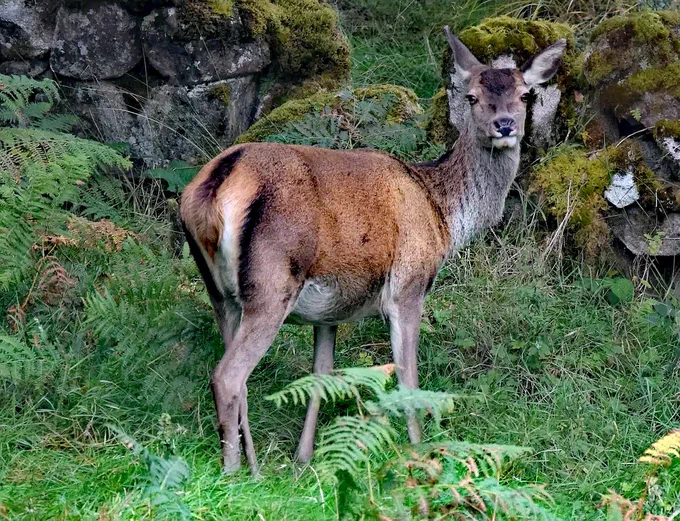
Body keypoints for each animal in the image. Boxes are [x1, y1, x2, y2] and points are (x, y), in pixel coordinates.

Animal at [180, 28, 567, 474]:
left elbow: (321, 375)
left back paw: (255, 468)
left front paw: (304, 460)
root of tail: (217, 184)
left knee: (236, 372)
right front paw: (419, 456)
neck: (442, 215)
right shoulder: (409, 287)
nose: (505, 125)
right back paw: (233, 473)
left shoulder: (330, 309)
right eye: (471, 96)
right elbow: (407, 378)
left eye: (524, 94)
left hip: (218, 292)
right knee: (228, 376)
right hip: (271, 282)